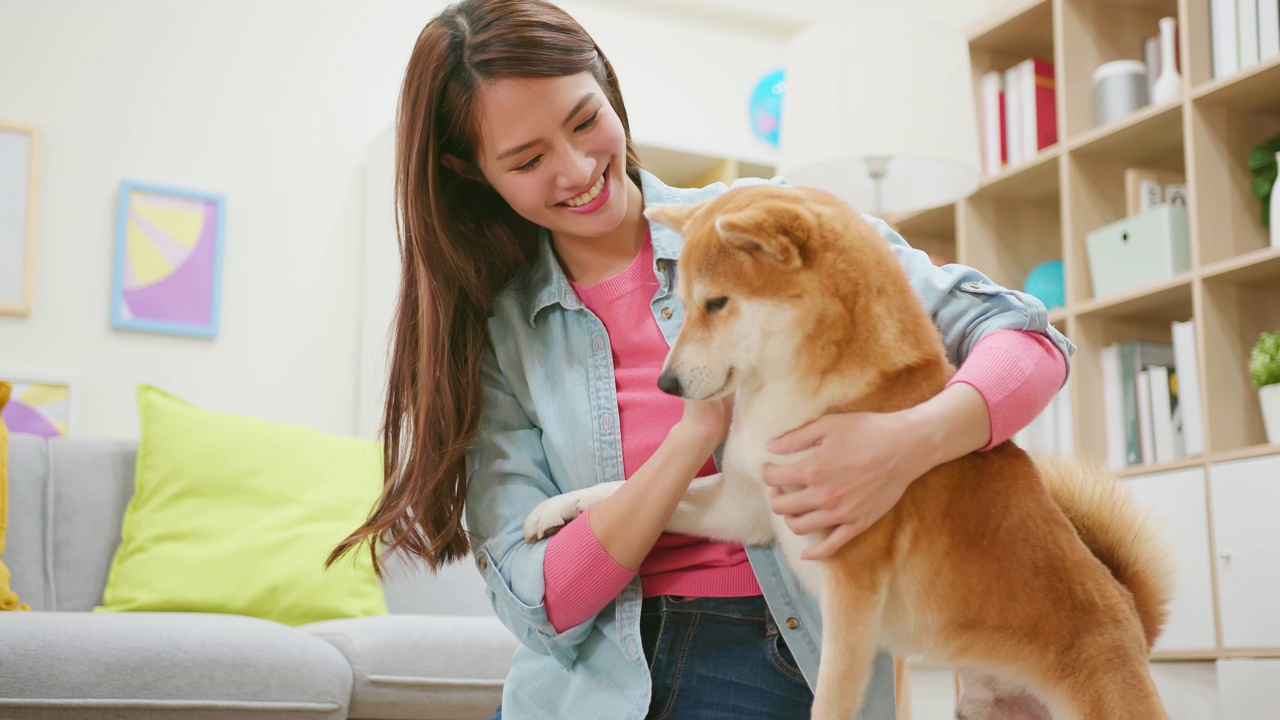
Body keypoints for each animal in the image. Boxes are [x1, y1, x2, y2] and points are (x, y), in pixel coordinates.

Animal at [519, 184, 1172, 717]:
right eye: (683, 299)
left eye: (717, 303)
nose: (667, 384)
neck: (798, 391)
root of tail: (1130, 615)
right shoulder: (745, 507)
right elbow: (625, 490)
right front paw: (555, 510)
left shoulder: (850, 595)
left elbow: (830, 701)